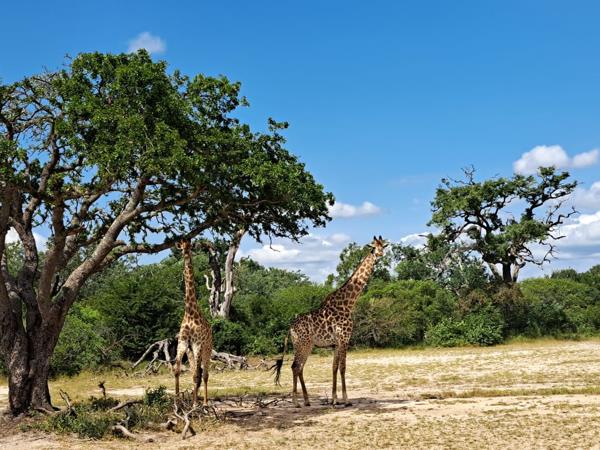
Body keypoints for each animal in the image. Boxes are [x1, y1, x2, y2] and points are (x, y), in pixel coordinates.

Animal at [273, 235, 388, 407]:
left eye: (383, 246)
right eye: (373, 247)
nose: (380, 254)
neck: (348, 303)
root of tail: (290, 328)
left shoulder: (336, 343)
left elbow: (334, 367)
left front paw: (334, 399)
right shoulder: (344, 338)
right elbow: (343, 367)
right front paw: (346, 400)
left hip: (301, 345)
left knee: (299, 367)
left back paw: (306, 400)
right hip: (303, 344)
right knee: (295, 366)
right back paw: (296, 402)